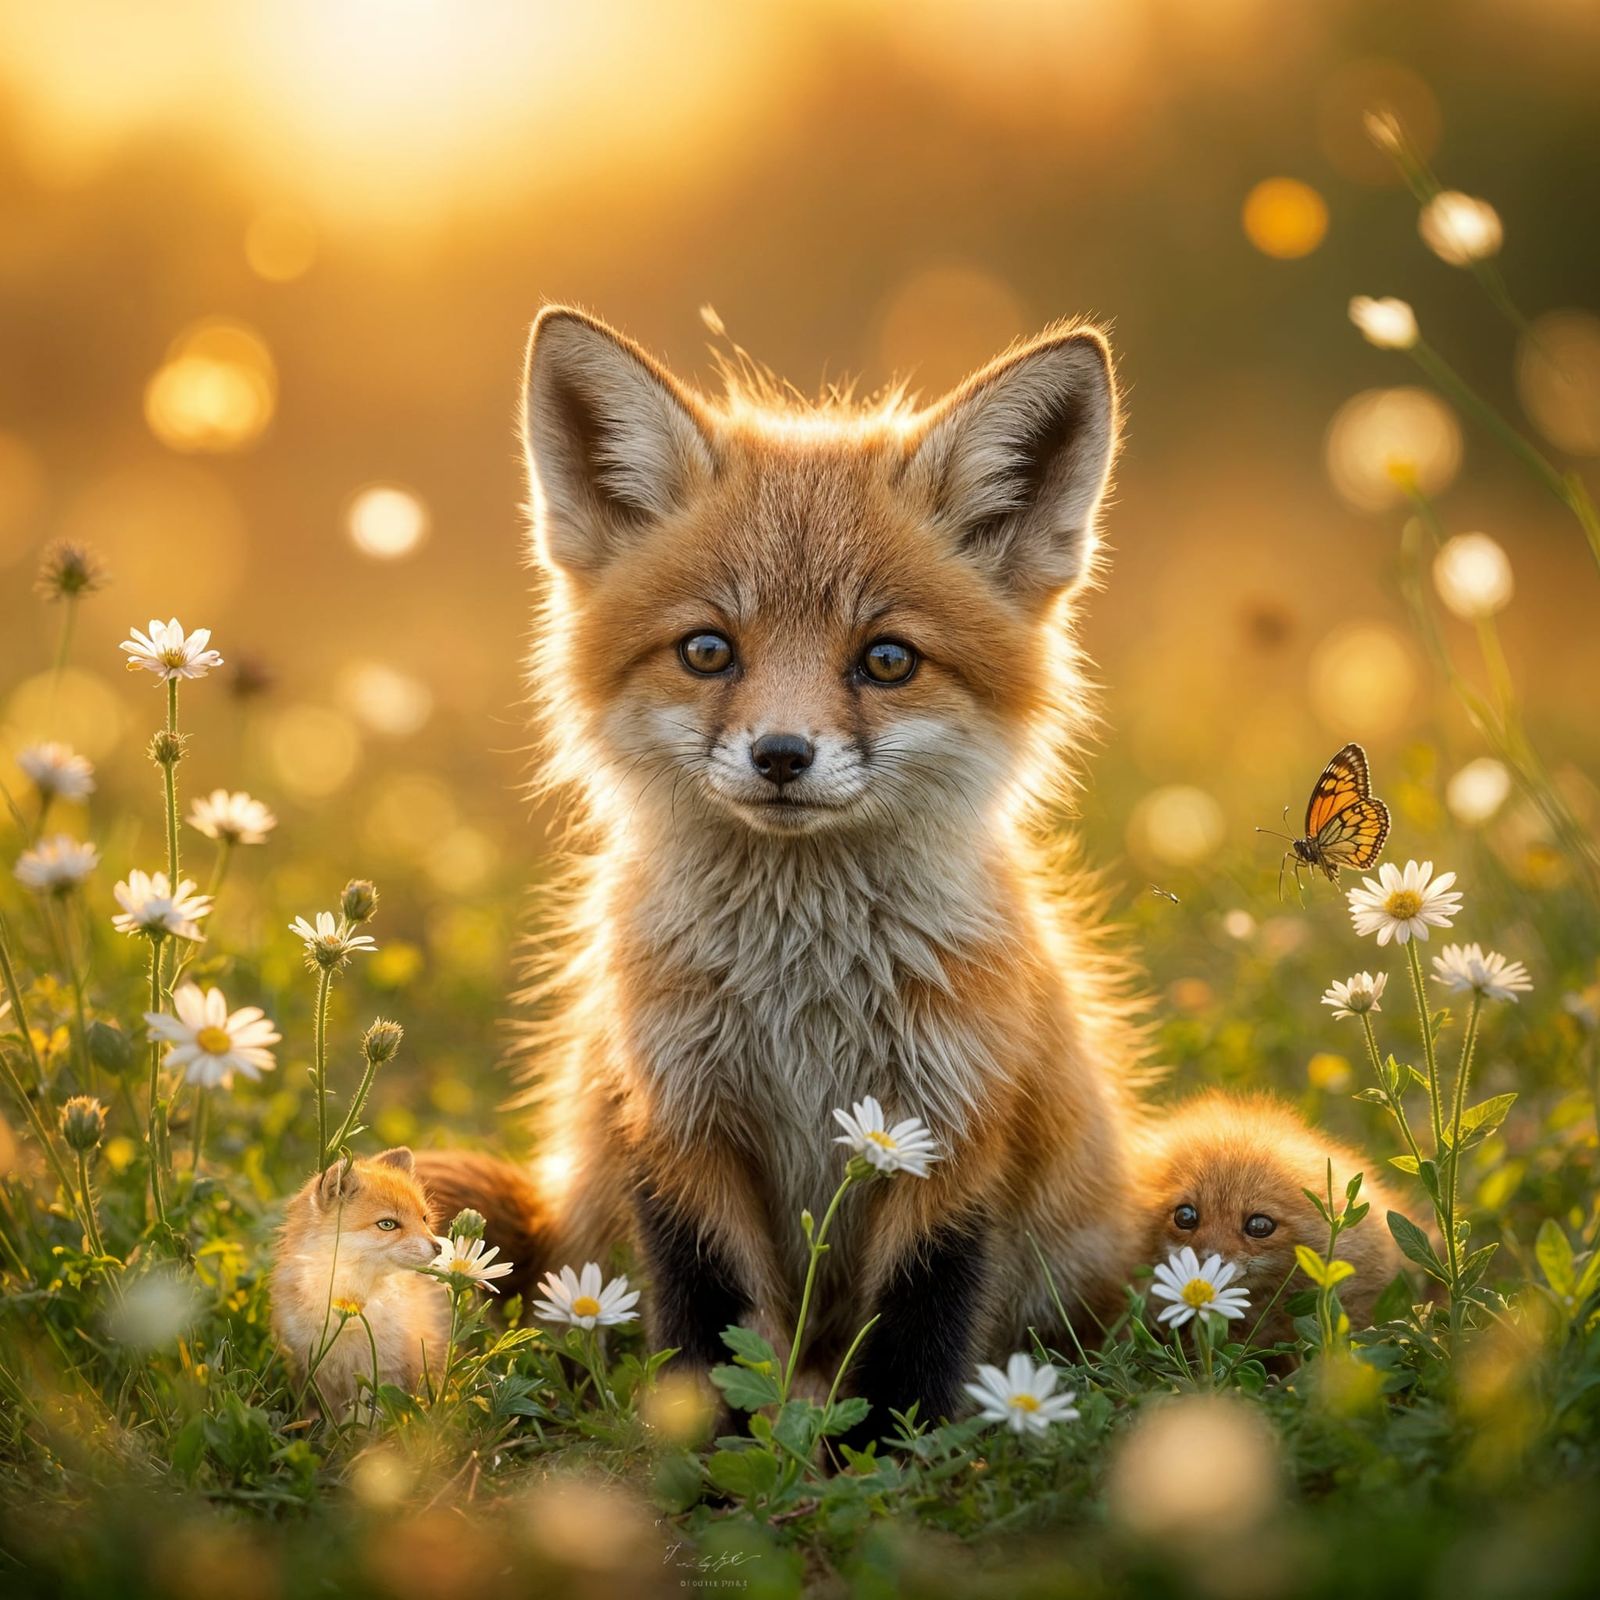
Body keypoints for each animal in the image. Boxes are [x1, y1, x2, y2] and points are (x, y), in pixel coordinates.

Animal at [416, 305, 1141, 1430]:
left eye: (887, 660)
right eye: (708, 650)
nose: (782, 755)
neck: (802, 1000)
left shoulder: (950, 1128)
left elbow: (918, 1328)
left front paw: (897, 1450)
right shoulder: (678, 1120)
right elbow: (710, 1323)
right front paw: (709, 1449)